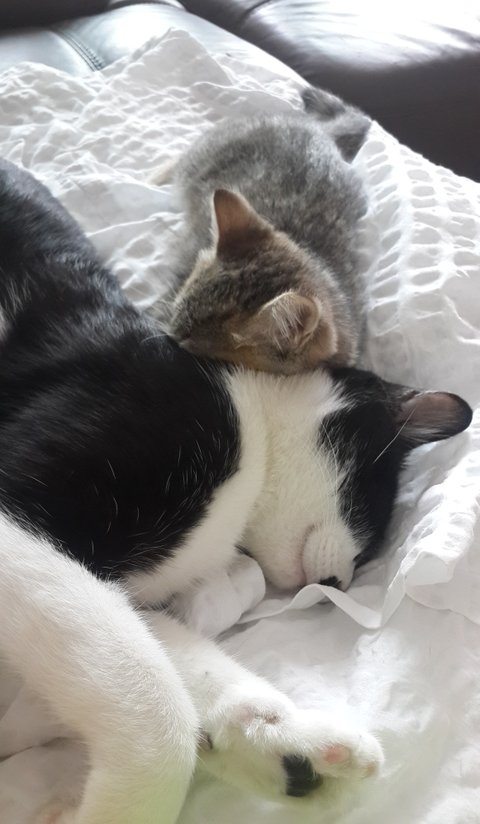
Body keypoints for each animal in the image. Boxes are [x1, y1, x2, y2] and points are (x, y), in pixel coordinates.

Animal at [154, 87, 371, 374]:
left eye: (189, 345)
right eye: (176, 315)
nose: (168, 333)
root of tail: (317, 129)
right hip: (200, 156)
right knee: (180, 160)